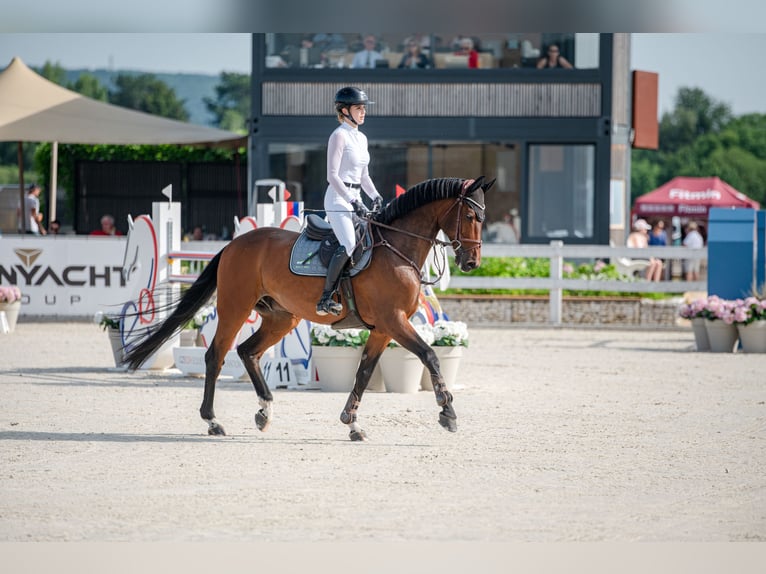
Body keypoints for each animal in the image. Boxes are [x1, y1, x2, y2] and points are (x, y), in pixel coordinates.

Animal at [123, 176, 496, 440]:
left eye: (483, 217)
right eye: (470, 215)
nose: (472, 262)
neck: (396, 248)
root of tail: (234, 244)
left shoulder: (383, 328)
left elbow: (363, 373)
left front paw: (351, 423)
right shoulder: (394, 321)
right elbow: (430, 355)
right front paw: (447, 412)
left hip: (281, 318)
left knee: (247, 351)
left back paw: (264, 411)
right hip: (235, 307)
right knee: (216, 355)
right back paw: (213, 421)